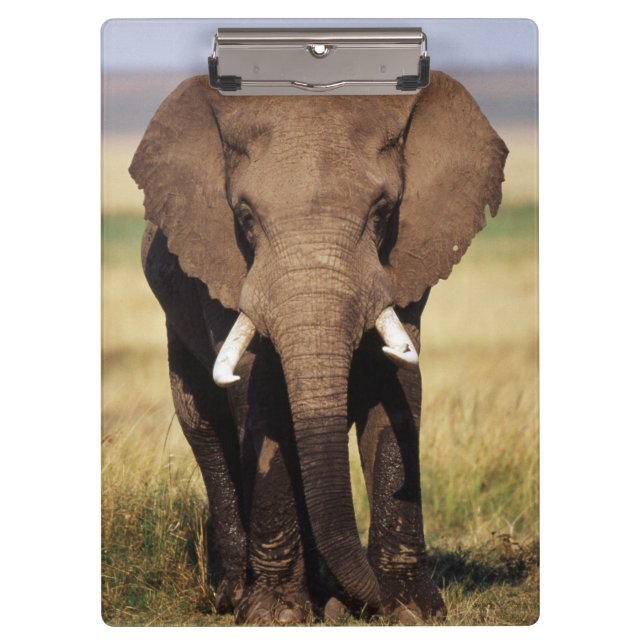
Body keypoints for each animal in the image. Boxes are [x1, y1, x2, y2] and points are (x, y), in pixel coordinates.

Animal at [129, 70, 508, 624]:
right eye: (245, 217)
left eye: (382, 212)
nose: (359, 601)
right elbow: (258, 397)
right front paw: (278, 616)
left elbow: (397, 391)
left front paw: (411, 611)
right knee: (204, 428)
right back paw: (238, 597)